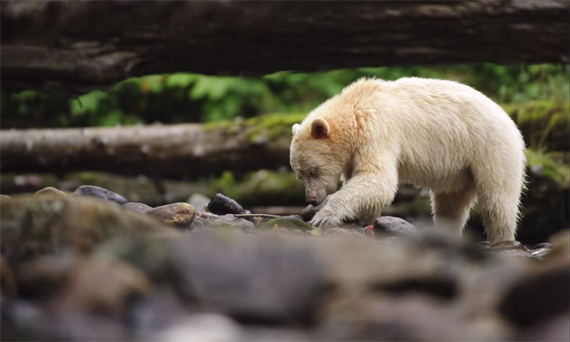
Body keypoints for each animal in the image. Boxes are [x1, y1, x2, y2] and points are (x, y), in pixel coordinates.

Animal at [290, 77, 524, 243]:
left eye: (313, 171)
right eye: (300, 175)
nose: (311, 199)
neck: (355, 107)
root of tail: (508, 117)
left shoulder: (378, 131)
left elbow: (378, 178)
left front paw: (324, 215)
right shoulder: (355, 151)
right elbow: (363, 184)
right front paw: (364, 220)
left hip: (490, 149)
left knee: (498, 203)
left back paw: (502, 239)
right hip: (460, 169)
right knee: (450, 205)